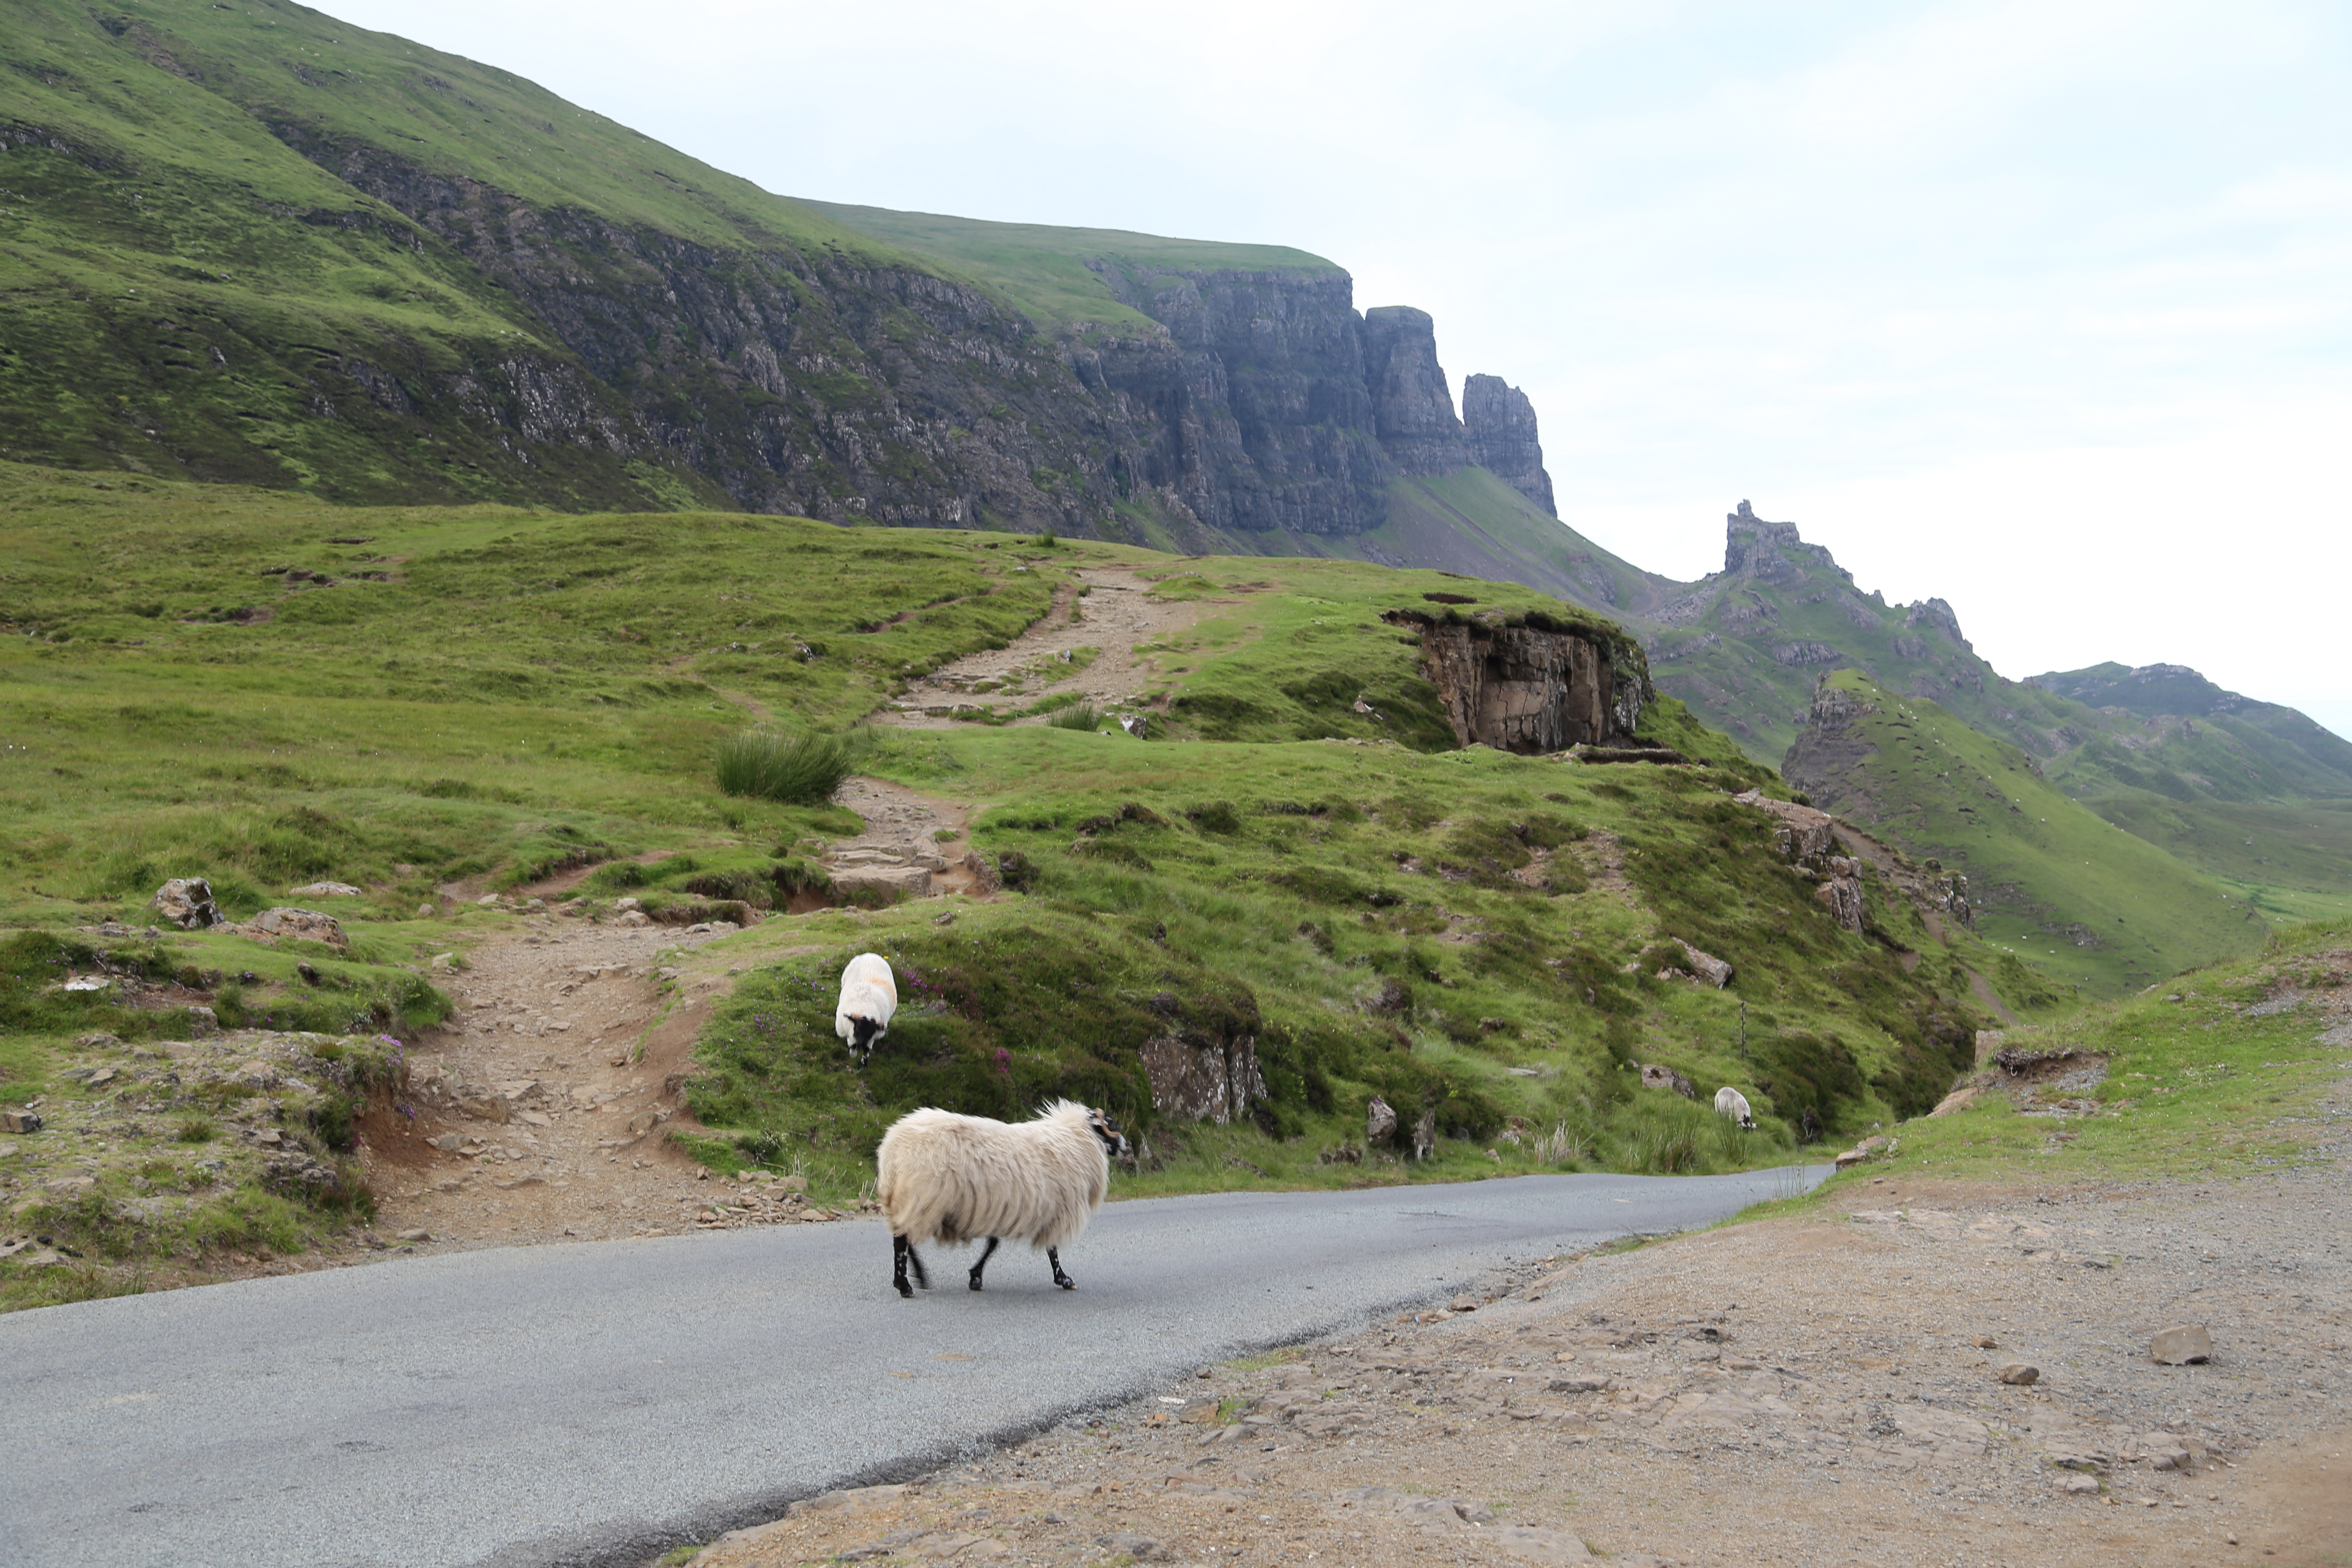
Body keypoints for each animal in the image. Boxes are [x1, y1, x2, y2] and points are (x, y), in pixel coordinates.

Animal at [833, 945, 894, 1067]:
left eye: (871, 1031)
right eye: (858, 1028)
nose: (861, 1044)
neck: (865, 1007)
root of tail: (870, 954)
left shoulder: (872, 1038)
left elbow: (867, 1051)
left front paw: (863, 1065)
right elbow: (852, 1047)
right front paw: (853, 1057)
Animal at [884, 1090, 1133, 1298]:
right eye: (1110, 1123)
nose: (1126, 1145)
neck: (1075, 1139)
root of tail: (893, 1149)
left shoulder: (1005, 1205)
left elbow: (993, 1244)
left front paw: (976, 1277)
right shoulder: (1054, 1208)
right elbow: (1051, 1249)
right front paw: (1064, 1279)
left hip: (914, 1200)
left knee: (903, 1236)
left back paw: (918, 1278)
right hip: (924, 1197)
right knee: (902, 1240)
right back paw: (905, 1286)